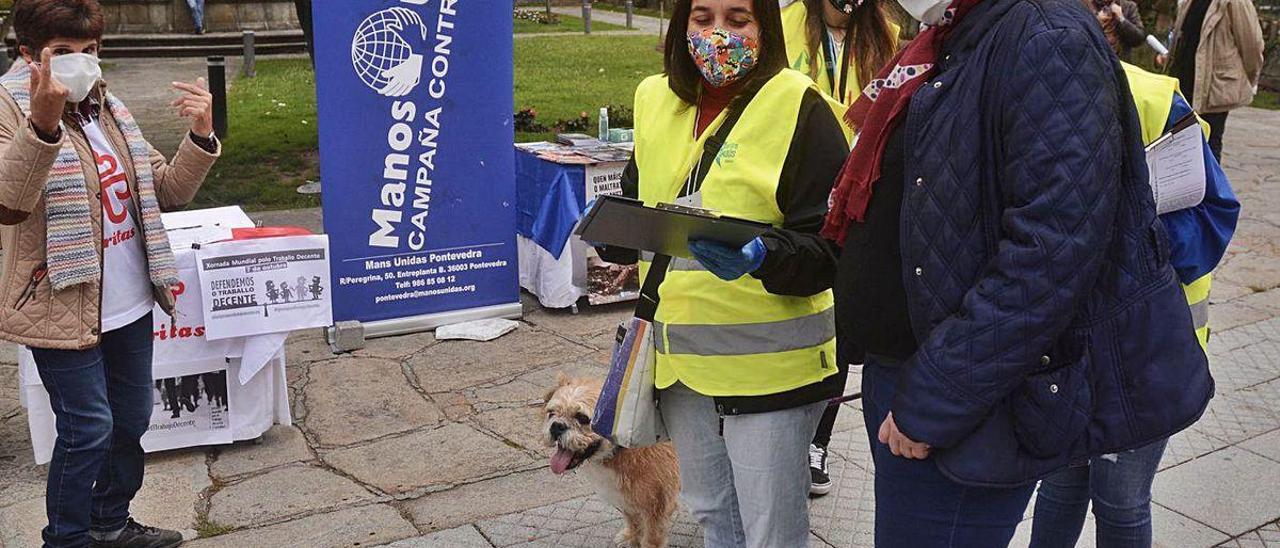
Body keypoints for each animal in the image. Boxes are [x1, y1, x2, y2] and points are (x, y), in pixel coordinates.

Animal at [540, 373, 680, 545]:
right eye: (551, 413)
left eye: (582, 418)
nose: (556, 426)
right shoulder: (625, 499)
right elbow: (632, 519)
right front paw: (632, 537)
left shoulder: (656, 507)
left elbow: (651, 538)